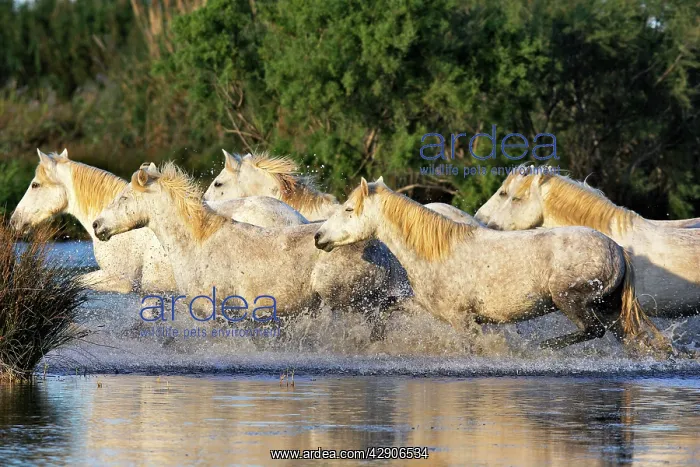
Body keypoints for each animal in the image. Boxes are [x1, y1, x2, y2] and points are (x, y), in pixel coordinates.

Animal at [92, 163, 412, 329]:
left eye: (124, 197)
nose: (97, 225)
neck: (198, 243)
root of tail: (381, 250)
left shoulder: (209, 309)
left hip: (347, 303)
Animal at [313, 178, 671, 353]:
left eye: (348, 209)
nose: (318, 237)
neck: (436, 253)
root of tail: (618, 249)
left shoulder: (462, 320)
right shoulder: (427, 308)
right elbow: (387, 307)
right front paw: (371, 339)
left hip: (569, 300)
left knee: (592, 330)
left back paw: (540, 349)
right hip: (608, 308)